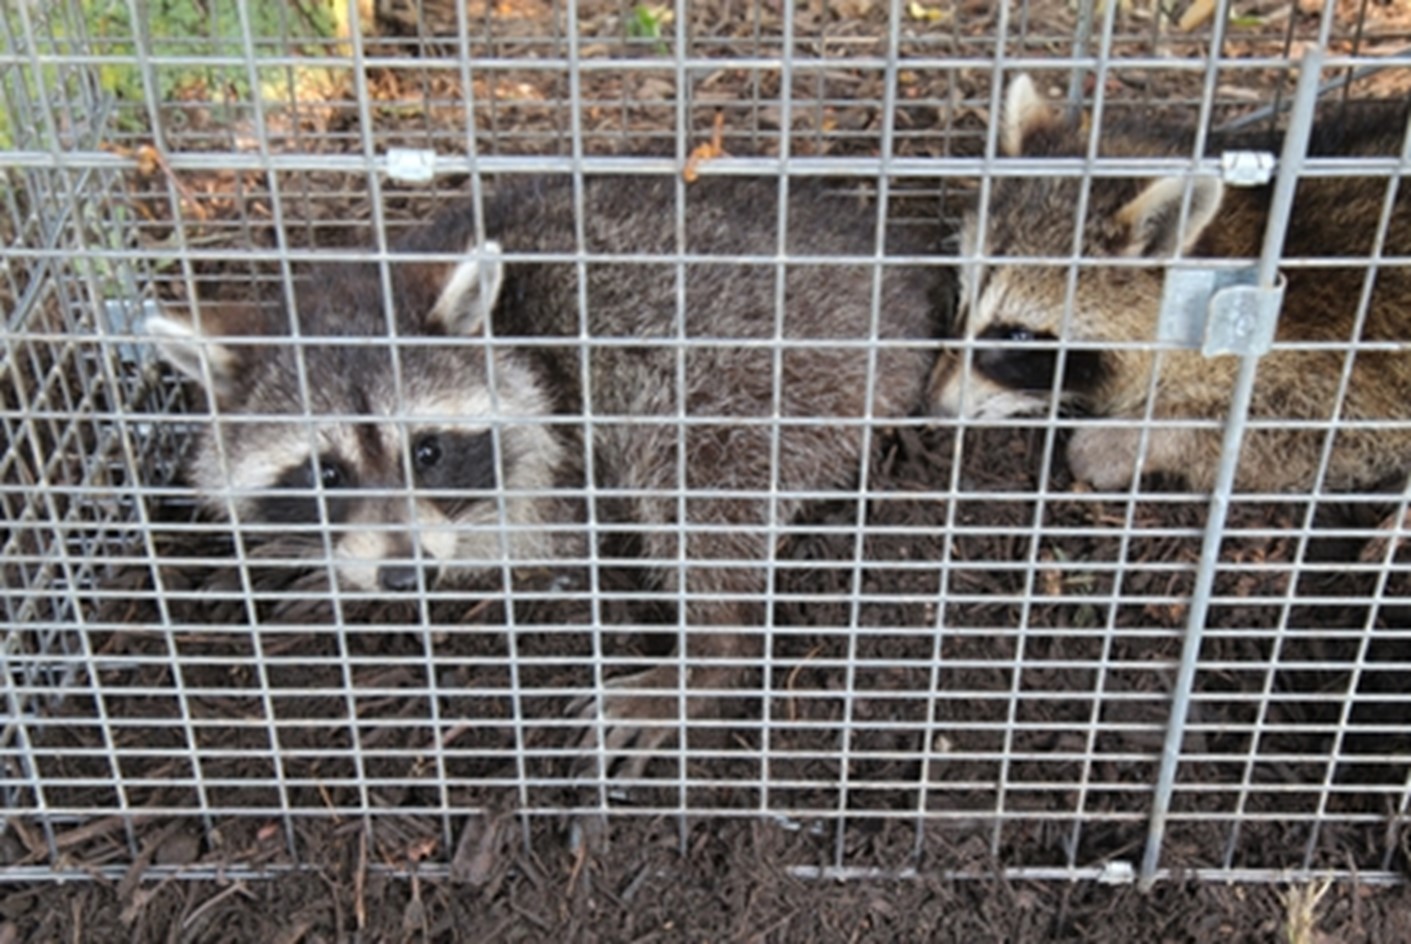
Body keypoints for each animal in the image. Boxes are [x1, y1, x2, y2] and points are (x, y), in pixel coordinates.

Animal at [148, 172, 948, 767]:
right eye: (327, 476)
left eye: (428, 453)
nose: (406, 576)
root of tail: (901, 290)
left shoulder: (563, 434)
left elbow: (537, 535)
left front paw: (344, 575)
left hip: (767, 371)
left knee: (694, 481)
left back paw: (709, 655)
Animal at [925, 73, 1411, 493]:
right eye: (962, 299)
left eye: (1018, 334)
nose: (933, 407)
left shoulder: (1348, 358)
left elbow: (1315, 427)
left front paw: (1126, 441)